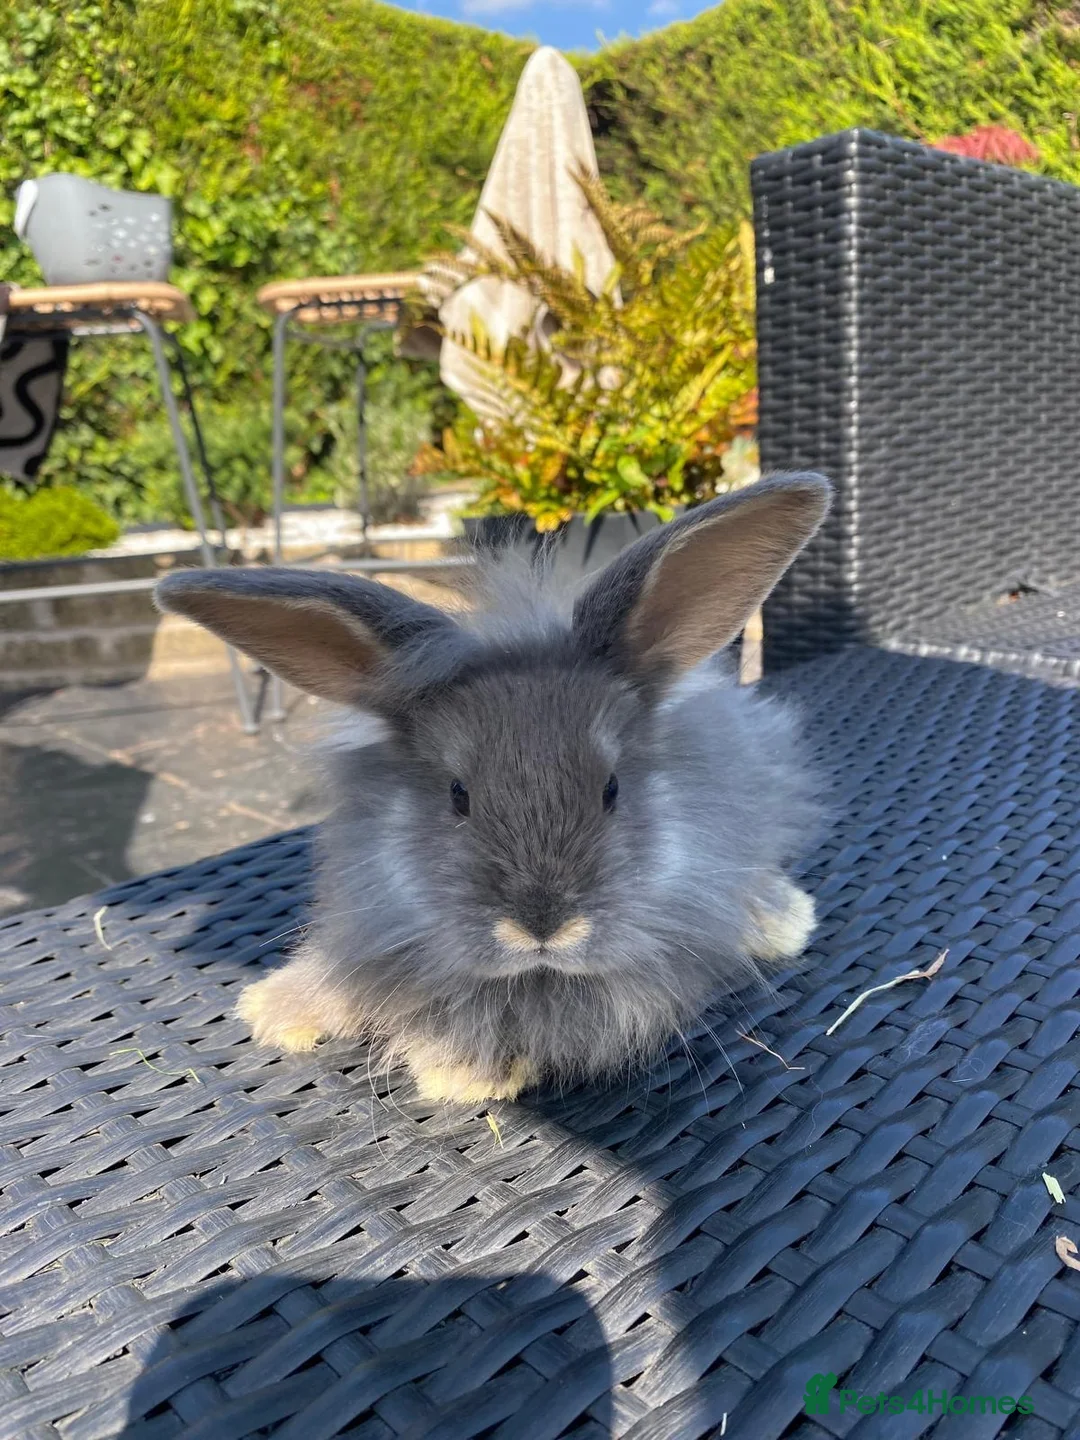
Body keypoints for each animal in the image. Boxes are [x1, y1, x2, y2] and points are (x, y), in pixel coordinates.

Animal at [155, 471, 831, 1104]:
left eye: (611, 789)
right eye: (458, 795)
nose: (543, 928)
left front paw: (461, 1072)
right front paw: (274, 1010)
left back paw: (784, 920)